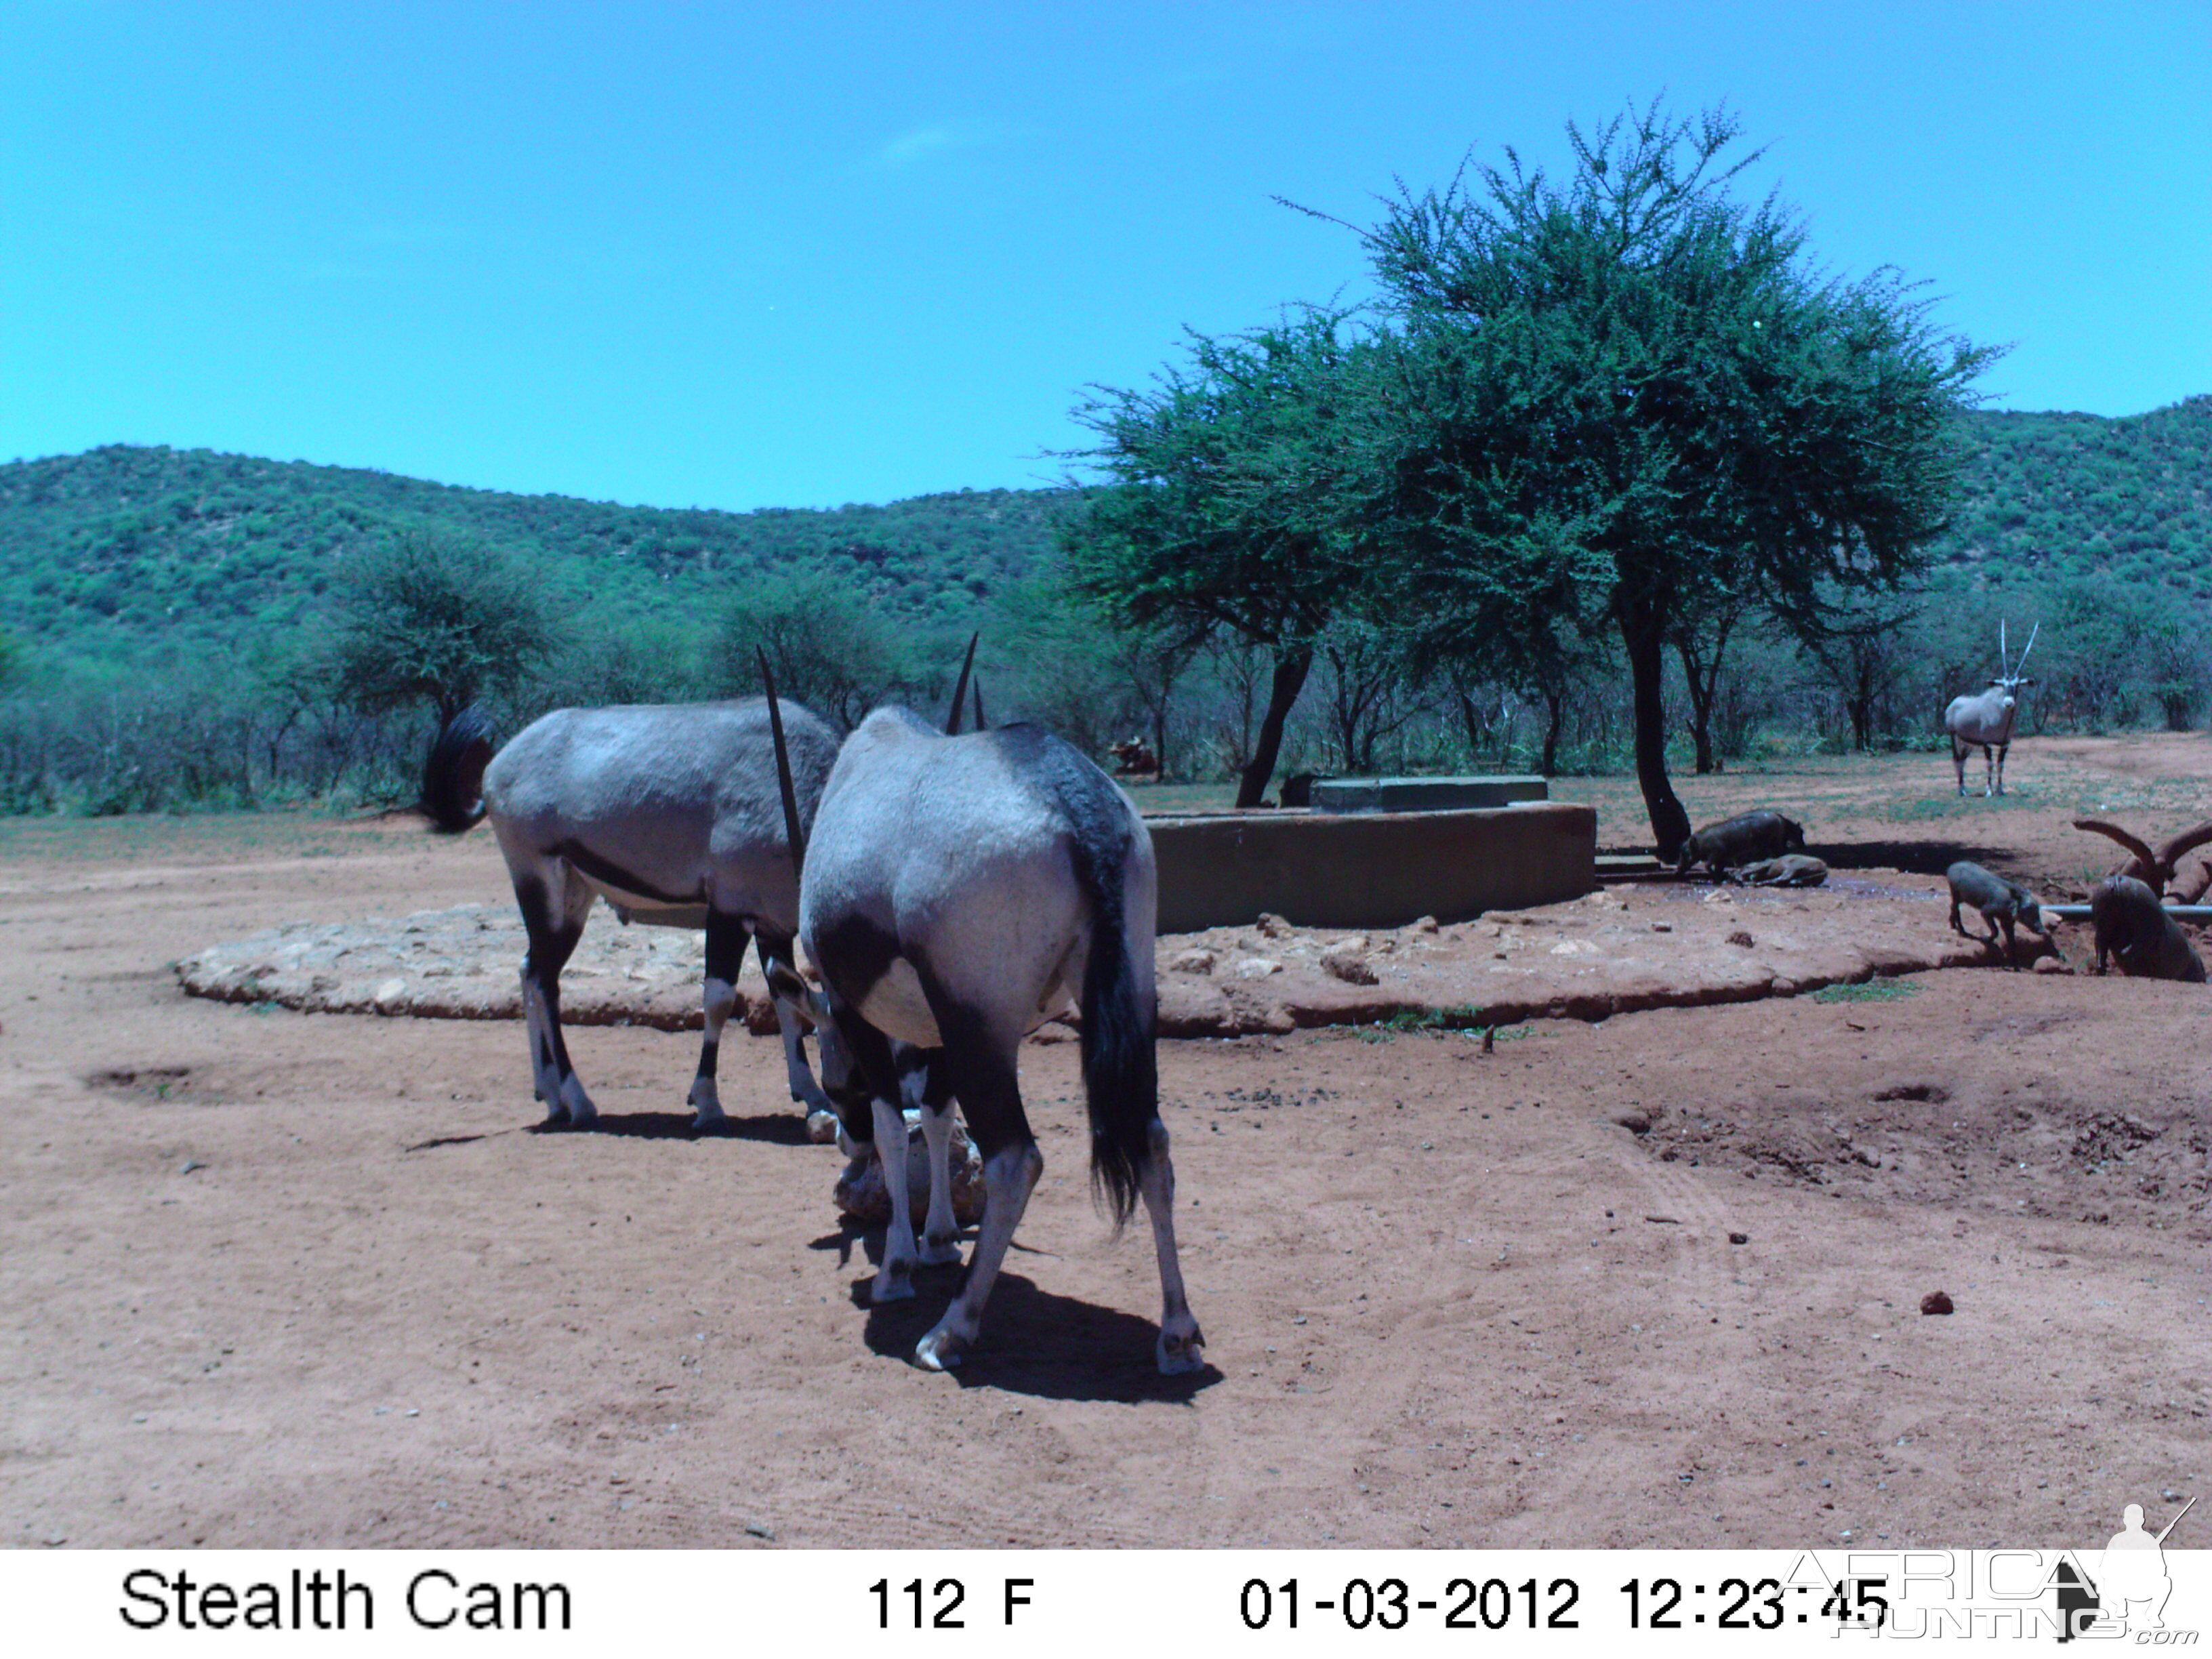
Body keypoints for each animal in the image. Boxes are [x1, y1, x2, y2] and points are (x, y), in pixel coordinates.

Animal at [424, 694, 844, 1141]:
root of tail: (499, 763)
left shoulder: (772, 922)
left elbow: (787, 1002)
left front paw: (811, 1097)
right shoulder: (729, 911)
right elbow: (718, 999)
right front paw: (708, 1104)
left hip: (573, 898)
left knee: (529, 968)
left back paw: (551, 1095)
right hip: (540, 884)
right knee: (543, 981)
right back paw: (578, 1102)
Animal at [765, 655, 1212, 1380]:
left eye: (836, 1081)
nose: (843, 1144)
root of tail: (1073, 802)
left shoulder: (860, 1011)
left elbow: (897, 1126)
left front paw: (899, 1266)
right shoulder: (941, 1031)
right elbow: (937, 1116)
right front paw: (942, 1239)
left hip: (981, 1025)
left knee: (1015, 1159)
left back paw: (951, 1331)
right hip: (1124, 999)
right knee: (1150, 1140)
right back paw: (1176, 1335)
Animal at [1946, 628, 2043, 800]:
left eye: (2017, 686)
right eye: (2003, 685)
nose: (2008, 703)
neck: (2001, 715)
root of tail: (1953, 704)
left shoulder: (2005, 743)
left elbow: (2000, 765)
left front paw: (2000, 790)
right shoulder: (1988, 743)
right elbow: (1990, 765)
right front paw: (1989, 791)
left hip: (1968, 742)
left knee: (1963, 760)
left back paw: (1964, 789)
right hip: (1954, 737)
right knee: (1957, 760)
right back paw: (1962, 791)